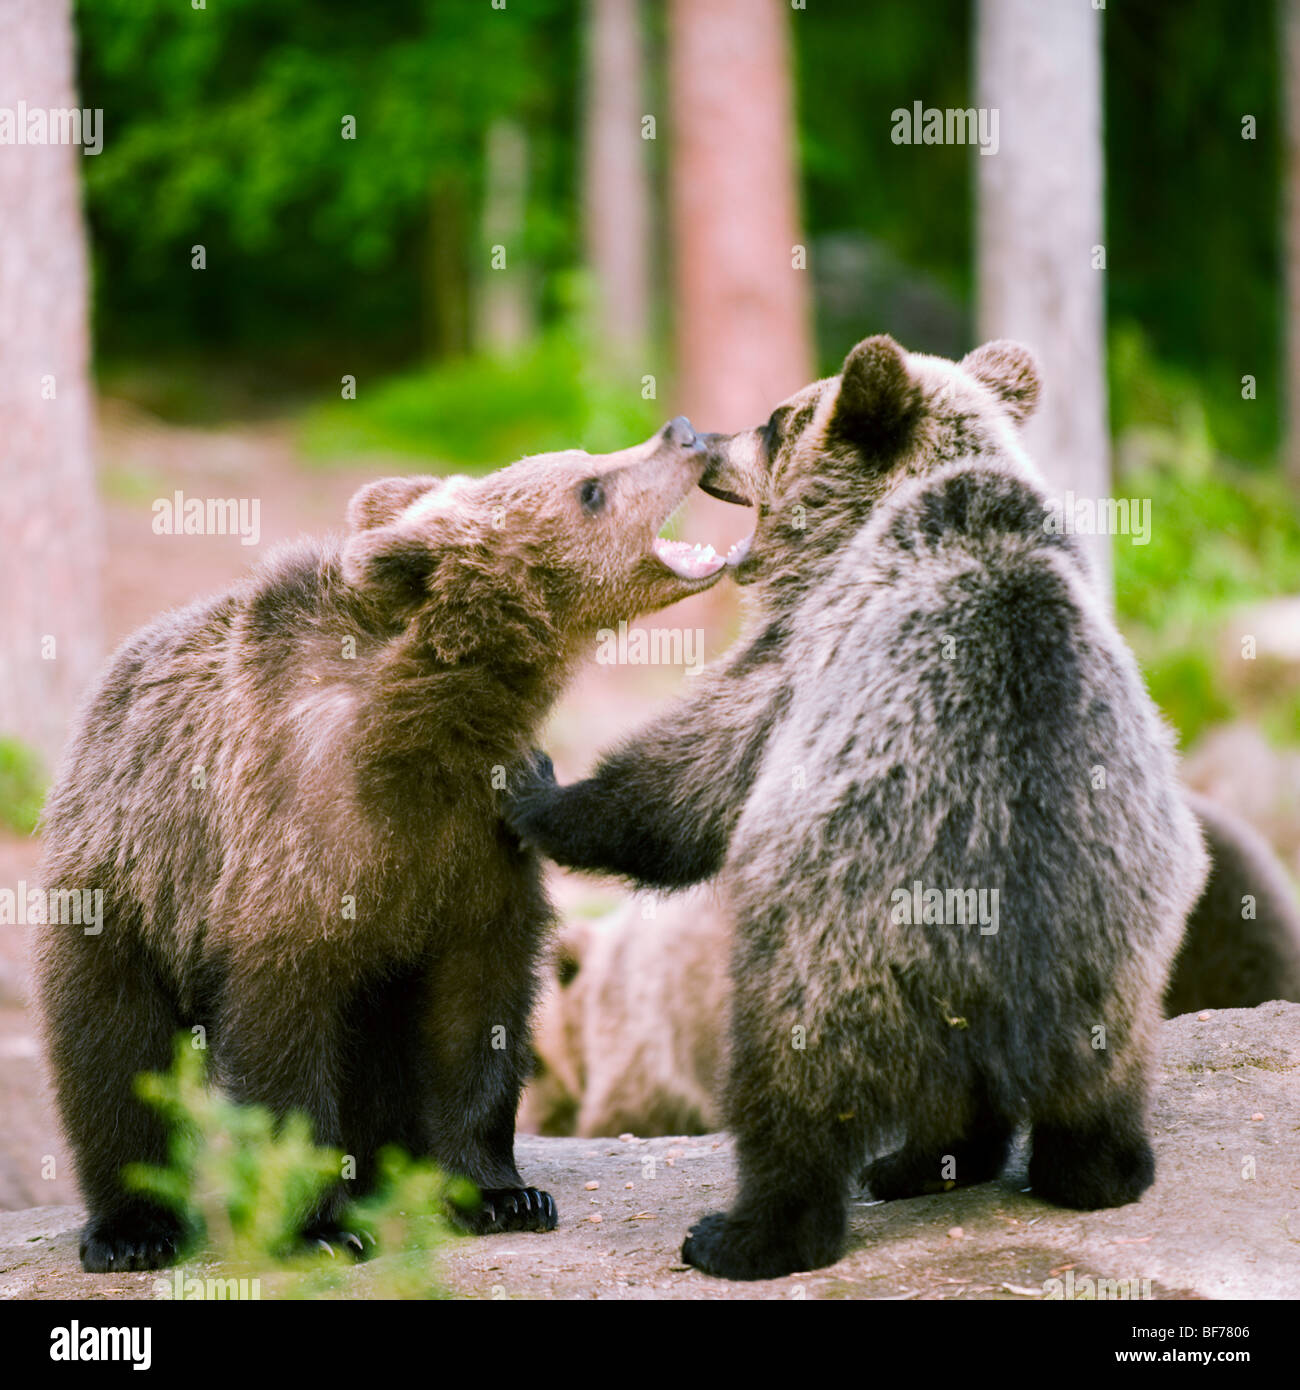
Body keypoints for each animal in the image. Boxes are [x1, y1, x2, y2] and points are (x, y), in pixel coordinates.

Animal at [33, 415, 733, 1272]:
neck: (419, 733)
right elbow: (280, 1033)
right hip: (125, 884)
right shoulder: (295, 848)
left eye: (585, 462)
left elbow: (478, 1009)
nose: (683, 432)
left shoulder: (474, 847)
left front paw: (501, 1192)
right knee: (112, 1052)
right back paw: (134, 1225)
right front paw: (316, 1226)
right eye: (590, 487)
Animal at [505, 336, 1209, 1279]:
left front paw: (540, 787)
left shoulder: (804, 658)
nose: (704, 437)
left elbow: (693, 777)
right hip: (1121, 950)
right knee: (1096, 1084)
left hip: (835, 944)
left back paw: (755, 1228)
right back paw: (1083, 1167)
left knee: (791, 1093)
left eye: (775, 422)